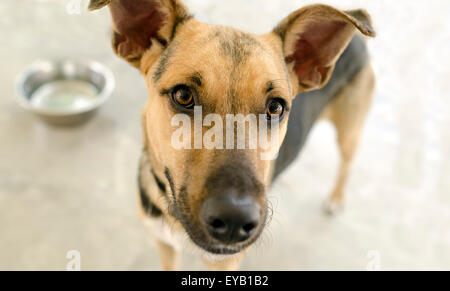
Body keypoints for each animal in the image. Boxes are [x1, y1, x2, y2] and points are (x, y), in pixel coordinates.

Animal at [88, 0, 376, 272]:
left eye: (275, 107)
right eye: (183, 95)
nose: (235, 221)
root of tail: (357, 40)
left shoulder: (225, 263)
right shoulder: (164, 244)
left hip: (349, 132)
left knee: (347, 164)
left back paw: (336, 198)